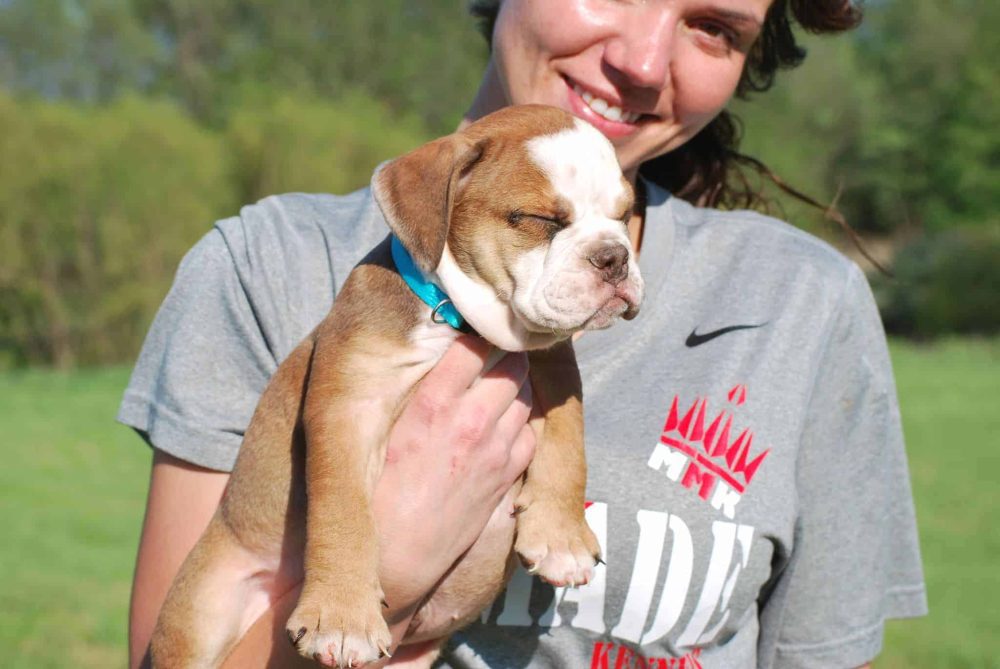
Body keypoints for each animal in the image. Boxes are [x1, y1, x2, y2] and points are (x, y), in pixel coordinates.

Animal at [152, 105, 644, 668]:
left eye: (624, 216)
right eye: (542, 220)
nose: (614, 256)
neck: (461, 323)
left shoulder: (553, 360)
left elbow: (568, 437)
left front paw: (561, 537)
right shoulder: (349, 407)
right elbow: (343, 509)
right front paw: (342, 617)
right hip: (199, 612)